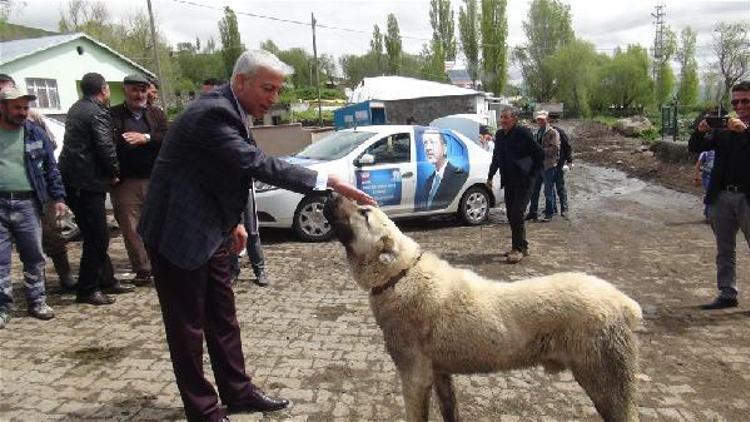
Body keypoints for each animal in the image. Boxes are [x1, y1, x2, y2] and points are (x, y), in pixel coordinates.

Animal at [326, 195, 644, 422]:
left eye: (364, 213)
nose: (329, 192)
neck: (399, 275)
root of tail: (624, 303)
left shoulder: (414, 376)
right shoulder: (439, 374)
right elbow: (451, 412)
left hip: (607, 382)